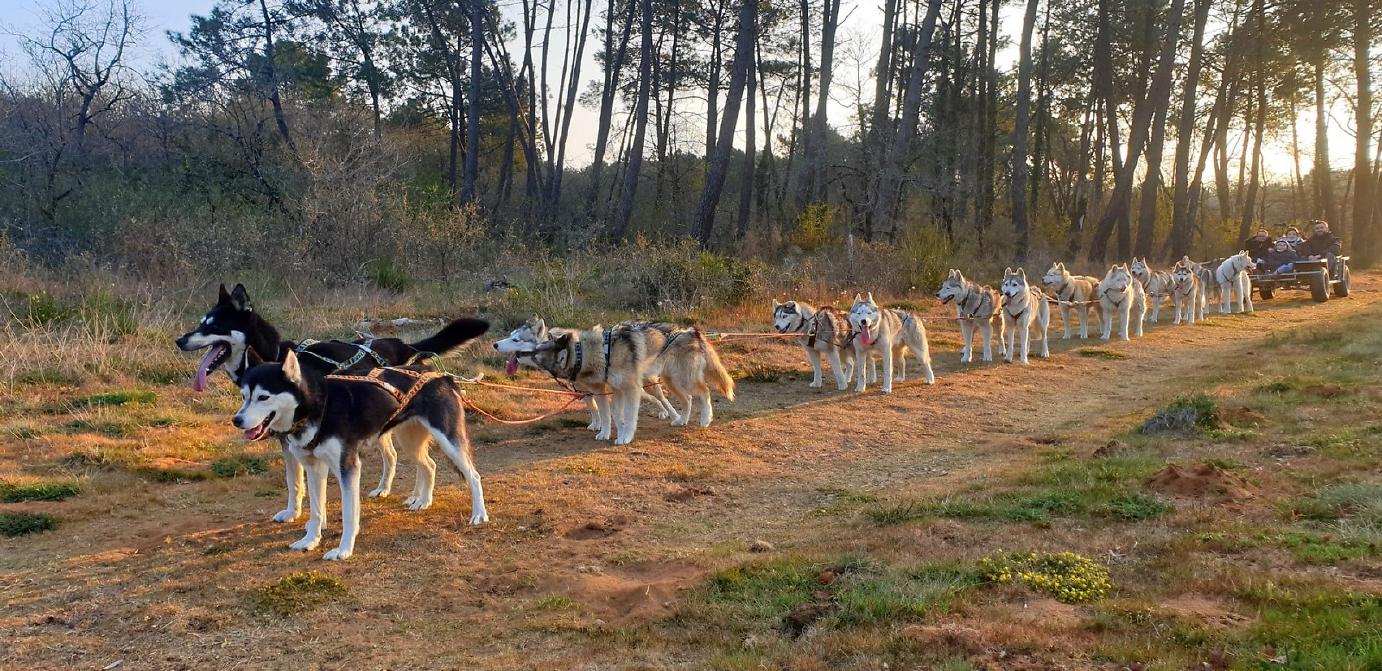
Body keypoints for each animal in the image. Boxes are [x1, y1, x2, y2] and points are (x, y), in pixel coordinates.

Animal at [177, 283, 488, 521]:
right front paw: (295, 512)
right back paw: (411, 496)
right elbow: (295, 481)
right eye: (200, 323)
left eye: (214, 325)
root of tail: (405, 344)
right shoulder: (290, 442)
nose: (180, 340)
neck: (275, 356)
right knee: (412, 460)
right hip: (396, 428)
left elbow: (297, 481)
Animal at [234, 351, 487, 561]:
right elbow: (315, 510)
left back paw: (478, 514)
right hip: (409, 441)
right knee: (430, 465)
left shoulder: (348, 468)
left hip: (449, 442)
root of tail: (440, 375)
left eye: (263, 397)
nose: (237, 420)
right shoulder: (314, 468)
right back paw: (423, 501)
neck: (320, 407)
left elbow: (349, 514)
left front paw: (343, 550)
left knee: (473, 476)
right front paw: (310, 540)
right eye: (244, 396)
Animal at [492, 316, 681, 424]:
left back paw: (672, 415)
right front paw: (596, 425)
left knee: (660, 397)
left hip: (646, 381)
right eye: (510, 335)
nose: (494, 344)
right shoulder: (584, 392)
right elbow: (594, 410)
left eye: (516, 340)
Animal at [527, 323, 734, 444]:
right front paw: (610, 433)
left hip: (684, 379)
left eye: (538, 351)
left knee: (704, 392)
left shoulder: (631, 390)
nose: (526, 353)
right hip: (672, 381)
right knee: (688, 399)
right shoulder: (613, 392)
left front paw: (625, 436)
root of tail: (693, 331)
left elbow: (627, 416)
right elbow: (611, 415)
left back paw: (705, 419)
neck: (601, 352)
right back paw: (681, 420)